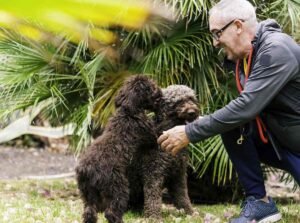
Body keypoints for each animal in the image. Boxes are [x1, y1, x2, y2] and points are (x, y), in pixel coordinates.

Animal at [76, 75, 163, 223]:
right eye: (152, 87)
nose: (160, 92)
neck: (127, 111)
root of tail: (86, 169)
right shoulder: (150, 135)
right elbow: (158, 133)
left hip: (88, 192)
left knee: (89, 212)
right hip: (118, 187)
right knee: (112, 212)